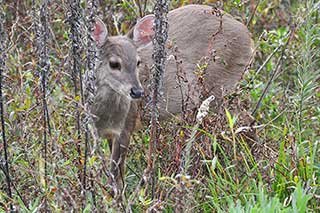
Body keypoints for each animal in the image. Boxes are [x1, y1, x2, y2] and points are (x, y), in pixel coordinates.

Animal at [90, 4, 252, 192]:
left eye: (138, 62)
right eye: (114, 63)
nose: (137, 92)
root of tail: (248, 36)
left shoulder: (127, 125)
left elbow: (115, 174)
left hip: (220, 88)